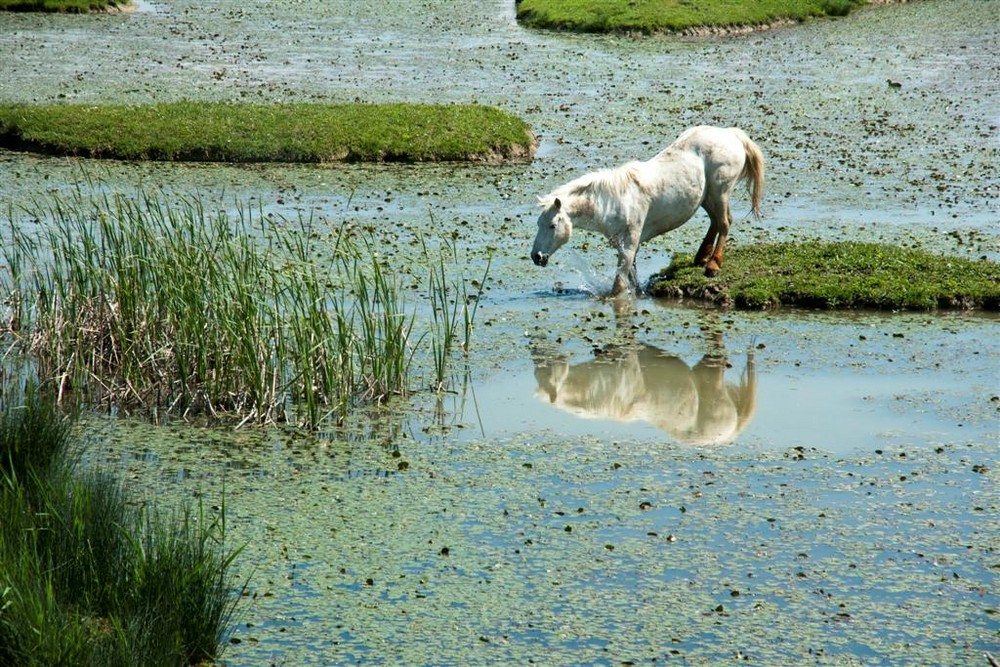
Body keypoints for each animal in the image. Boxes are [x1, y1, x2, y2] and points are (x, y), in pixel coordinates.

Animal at [532, 126, 764, 298]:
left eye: (552, 225)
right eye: (538, 224)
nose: (536, 257)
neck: (614, 201)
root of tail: (731, 134)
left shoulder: (630, 242)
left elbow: (619, 284)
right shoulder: (623, 245)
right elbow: (631, 277)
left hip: (720, 192)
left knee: (724, 223)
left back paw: (713, 266)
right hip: (707, 197)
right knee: (716, 221)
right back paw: (700, 257)